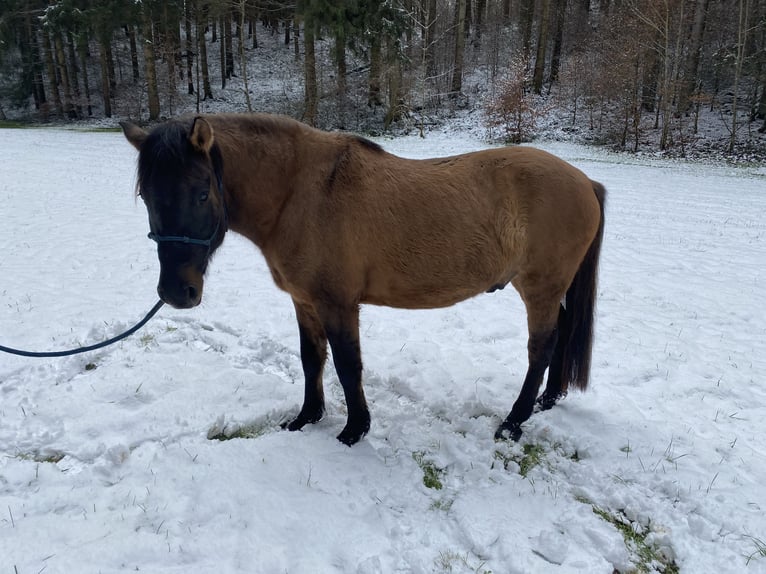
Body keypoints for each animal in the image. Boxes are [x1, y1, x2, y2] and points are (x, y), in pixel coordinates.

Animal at [118, 112, 608, 446]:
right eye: (147, 196)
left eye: (202, 193)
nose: (176, 292)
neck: (300, 193)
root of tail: (585, 181)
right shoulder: (304, 301)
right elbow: (311, 359)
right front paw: (307, 417)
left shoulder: (337, 303)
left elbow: (346, 364)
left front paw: (354, 430)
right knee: (562, 336)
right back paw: (547, 400)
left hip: (539, 288)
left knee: (541, 347)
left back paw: (513, 421)